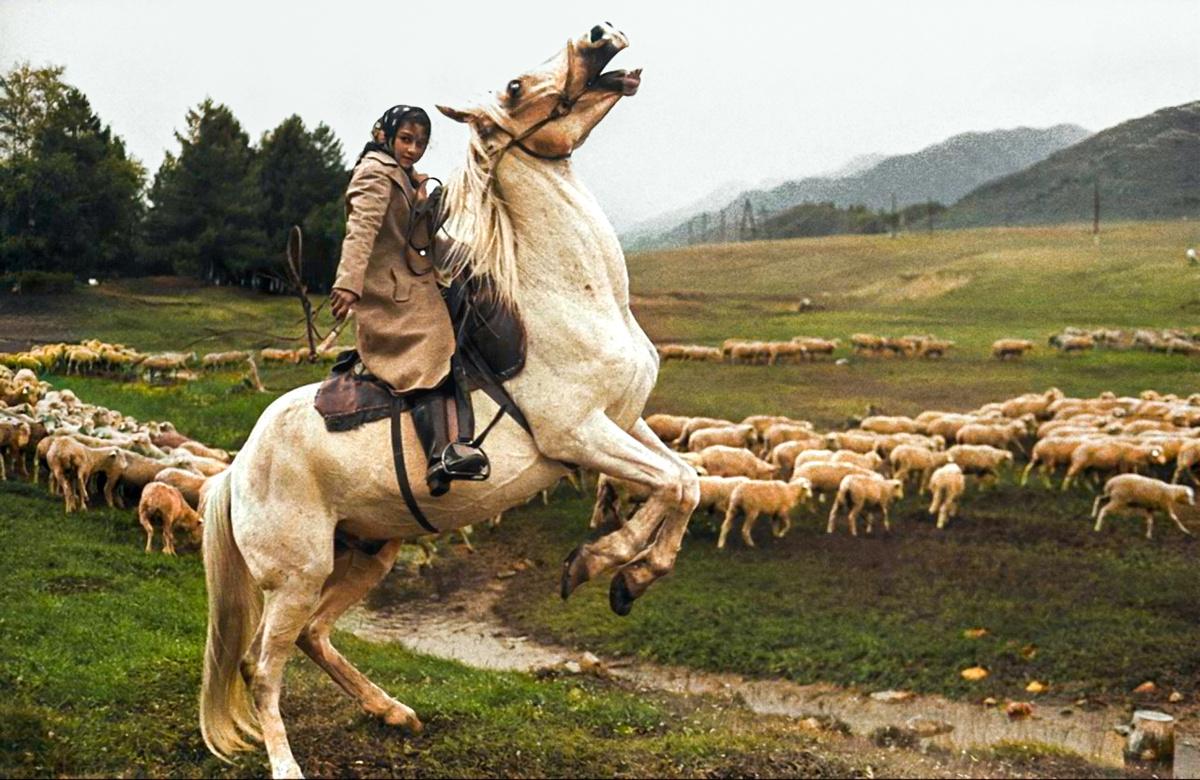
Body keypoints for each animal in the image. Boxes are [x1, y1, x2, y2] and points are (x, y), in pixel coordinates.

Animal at [200, 24, 700, 777]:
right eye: (516, 87)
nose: (599, 36)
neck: (571, 300)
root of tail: (236, 470)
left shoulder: (626, 422)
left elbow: (688, 481)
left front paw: (625, 574)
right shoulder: (580, 434)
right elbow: (671, 485)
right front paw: (602, 564)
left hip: (368, 551)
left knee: (315, 636)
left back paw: (393, 712)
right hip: (297, 574)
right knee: (263, 667)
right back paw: (288, 762)